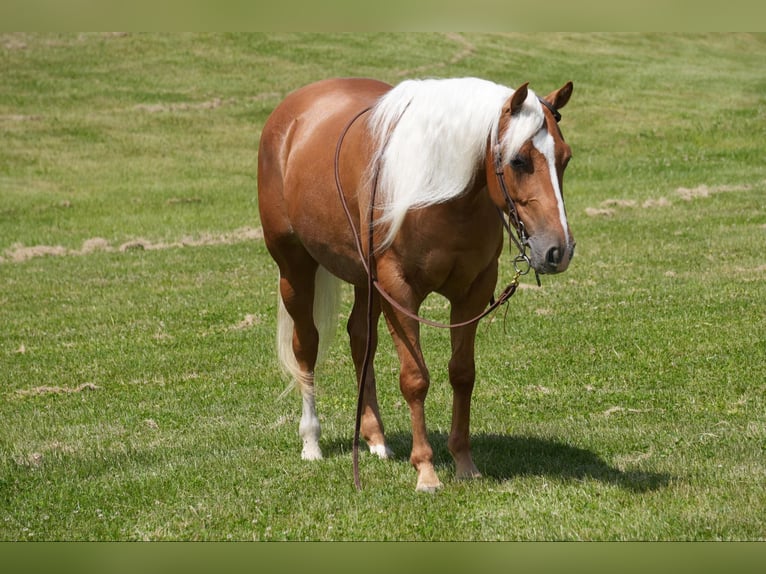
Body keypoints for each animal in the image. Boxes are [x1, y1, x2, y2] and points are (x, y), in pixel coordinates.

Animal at [260, 76, 576, 492]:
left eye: (565, 159)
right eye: (519, 160)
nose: (559, 250)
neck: (440, 191)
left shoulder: (473, 291)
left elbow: (462, 374)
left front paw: (464, 463)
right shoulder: (399, 290)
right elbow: (415, 378)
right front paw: (425, 470)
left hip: (365, 282)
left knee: (361, 340)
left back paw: (375, 438)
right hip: (294, 268)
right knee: (307, 345)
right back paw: (311, 440)